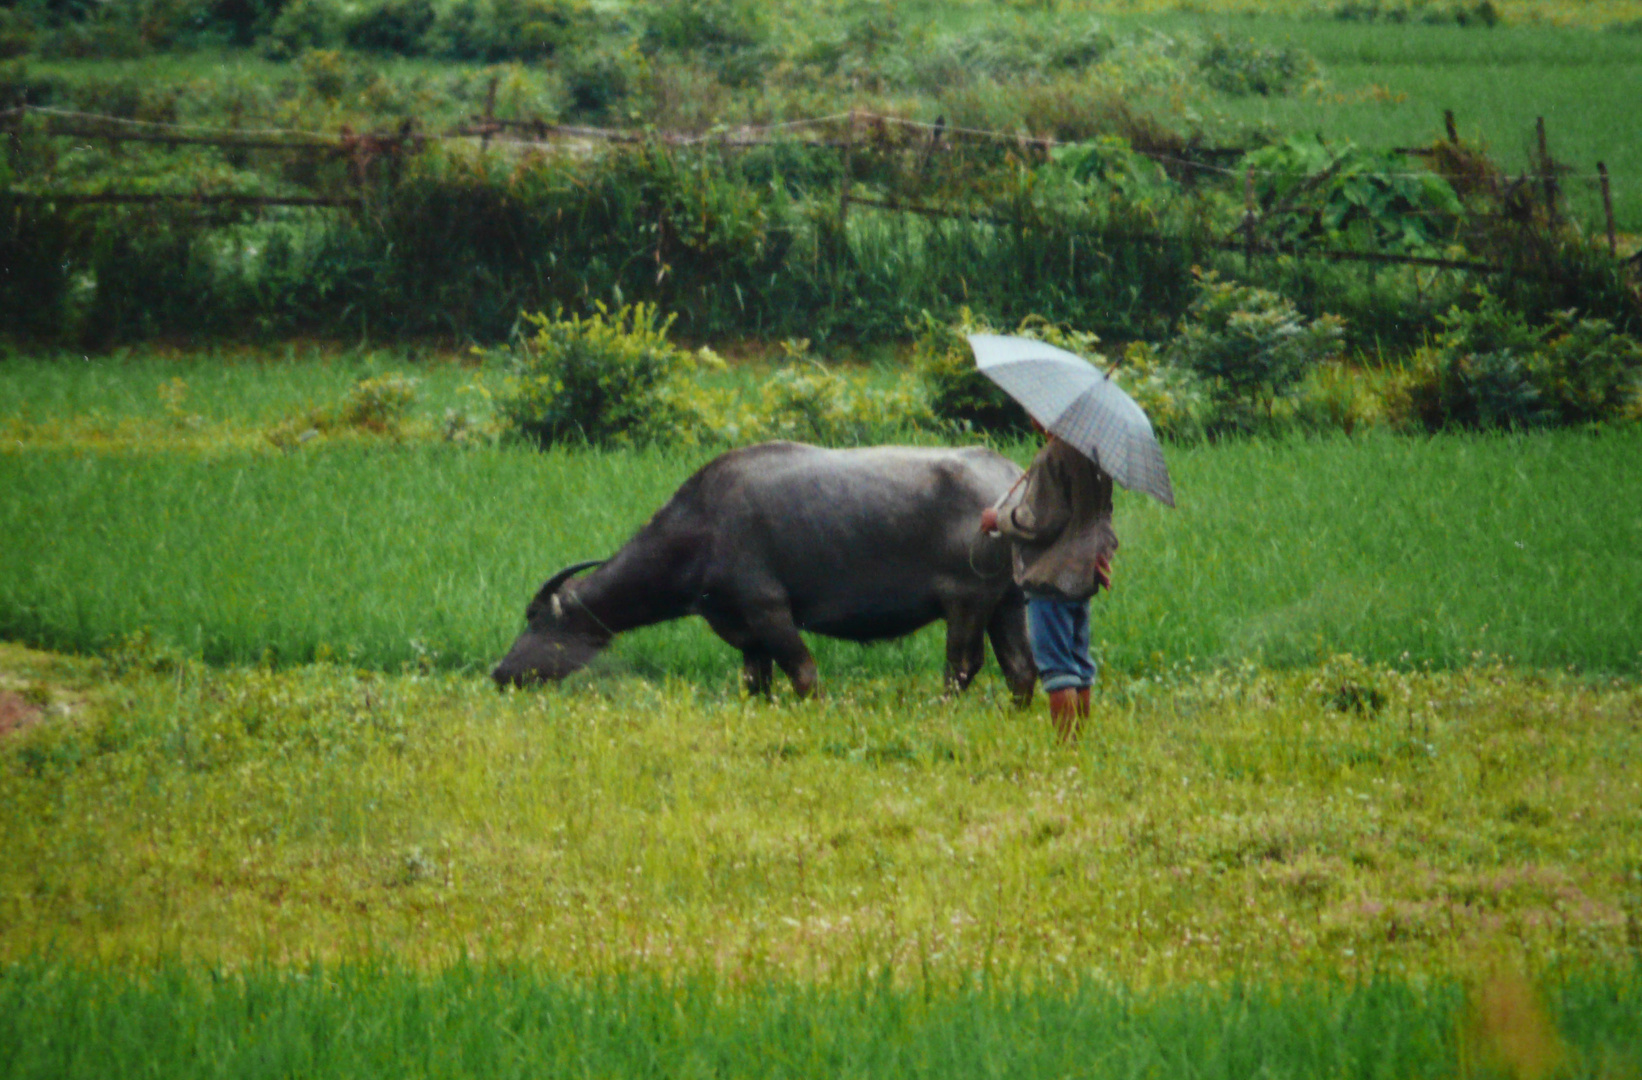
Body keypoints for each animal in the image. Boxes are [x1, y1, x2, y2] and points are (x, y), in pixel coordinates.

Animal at [486, 436, 1031, 699]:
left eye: (536, 619)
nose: (500, 671)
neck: (701, 527)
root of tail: (1010, 482)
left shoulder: (767, 608)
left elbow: (804, 673)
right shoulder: (741, 628)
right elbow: (755, 681)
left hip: (967, 602)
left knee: (962, 667)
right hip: (1007, 603)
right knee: (1021, 670)